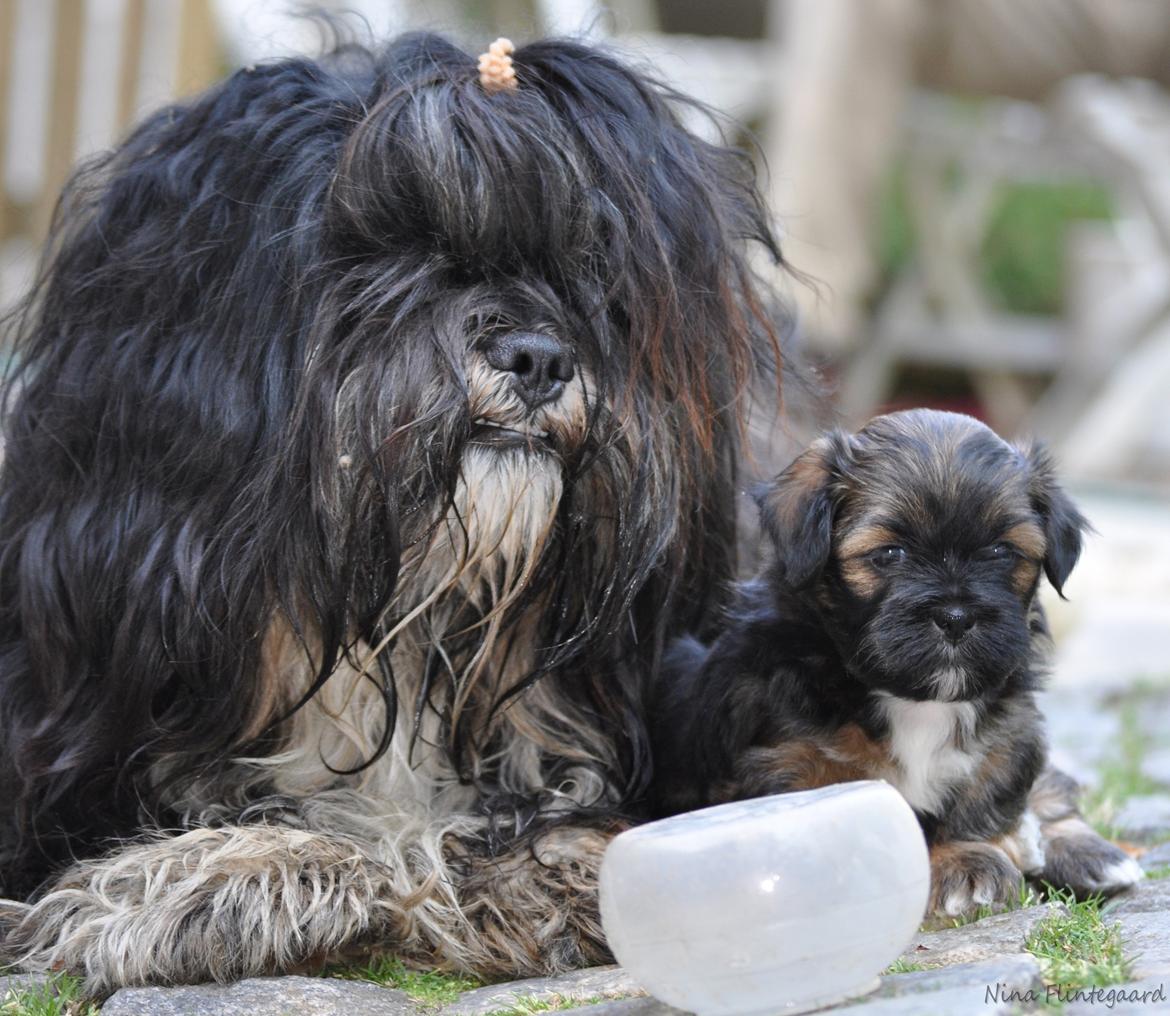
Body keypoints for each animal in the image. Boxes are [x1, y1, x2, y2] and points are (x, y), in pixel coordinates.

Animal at [655, 409, 1146, 917]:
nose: (956, 616)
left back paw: (1093, 854)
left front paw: (965, 858)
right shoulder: (787, 759)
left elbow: (986, 793)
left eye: (1001, 552)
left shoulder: (1012, 728)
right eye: (891, 553)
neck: (914, 699)